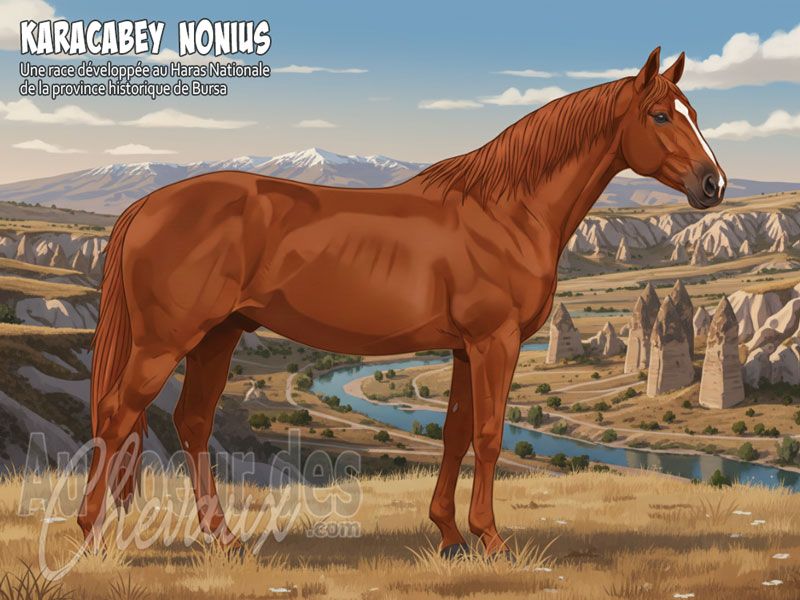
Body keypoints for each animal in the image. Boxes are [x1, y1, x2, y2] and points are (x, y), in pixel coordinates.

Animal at [79, 47, 726, 557]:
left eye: (695, 113)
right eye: (660, 114)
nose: (713, 184)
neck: (506, 212)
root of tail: (146, 204)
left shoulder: (464, 350)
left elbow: (456, 433)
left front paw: (449, 536)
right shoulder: (495, 343)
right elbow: (489, 434)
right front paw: (491, 539)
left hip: (219, 335)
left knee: (191, 423)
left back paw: (225, 537)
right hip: (165, 342)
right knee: (116, 416)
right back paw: (92, 535)